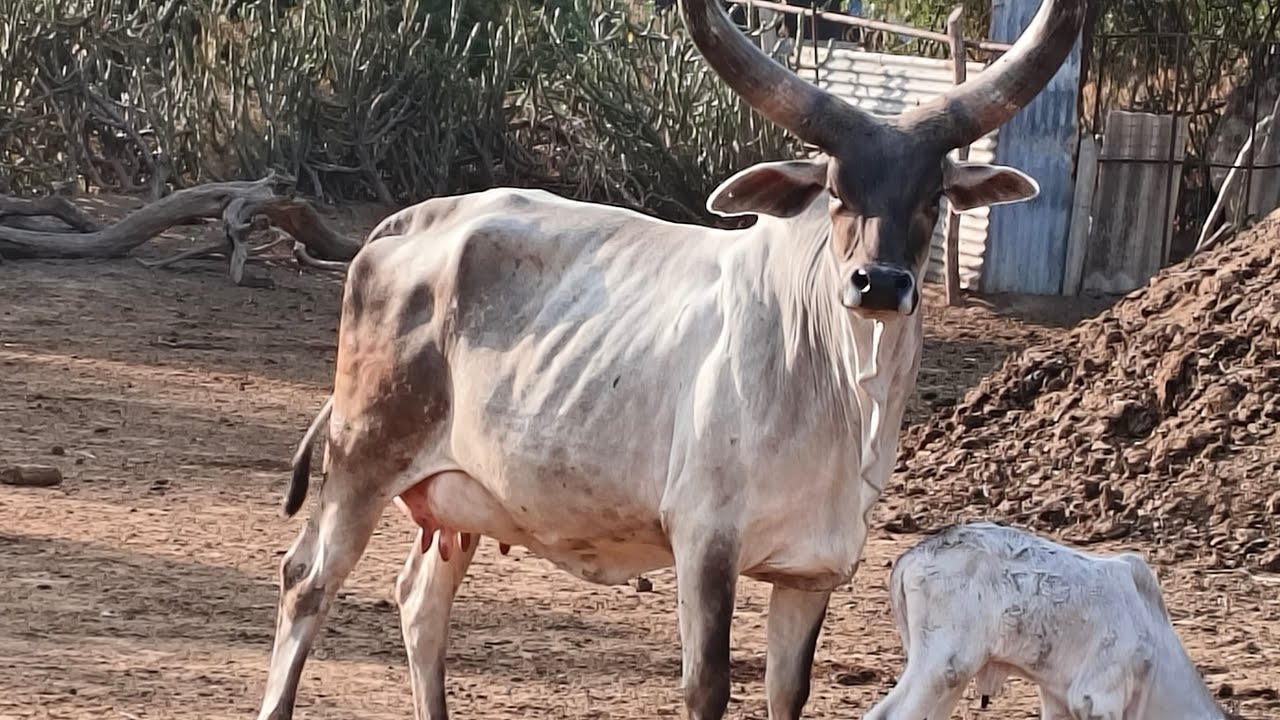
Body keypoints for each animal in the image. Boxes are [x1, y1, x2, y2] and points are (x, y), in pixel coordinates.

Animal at [253, 0, 1087, 717]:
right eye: (836, 191)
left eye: (934, 194)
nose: (879, 282)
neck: (841, 396)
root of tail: (410, 220)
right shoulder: (704, 543)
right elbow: (706, 687)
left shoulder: (812, 571)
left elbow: (788, 692)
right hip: (363, 457)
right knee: (307, 582)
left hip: (456, 499)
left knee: (422, 602)